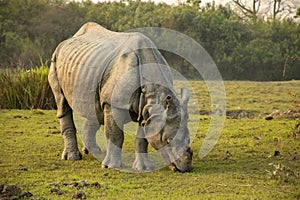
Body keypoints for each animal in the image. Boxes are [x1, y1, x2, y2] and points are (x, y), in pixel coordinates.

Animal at [48, 22, 193, 172]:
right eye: (167, 141)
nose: (186, 168)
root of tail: (69, 39)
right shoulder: (114, 103)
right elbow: (115, 134)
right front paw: (111, 166)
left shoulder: (147, 109)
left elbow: (142, 138)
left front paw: (144, 168)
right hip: (55, 60)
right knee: (63, 104)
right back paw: (72, 157)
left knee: (94, 108)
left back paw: (94, 151)